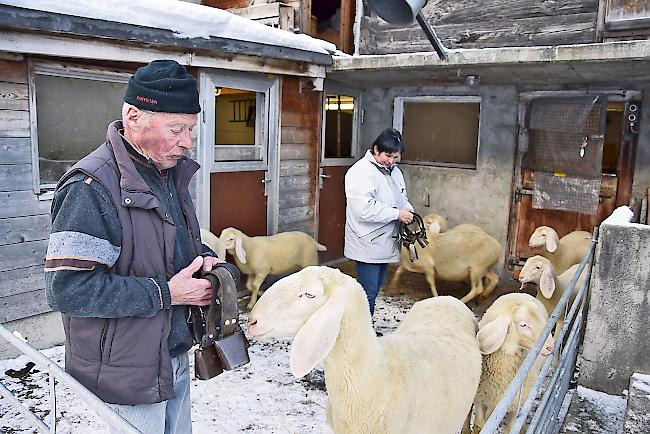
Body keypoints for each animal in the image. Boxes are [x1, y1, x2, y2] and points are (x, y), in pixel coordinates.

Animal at [466, 294, 552, 432]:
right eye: (523, 324)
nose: (550, 347)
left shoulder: (515, 402)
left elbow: (510, 428)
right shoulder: (480, 397)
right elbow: (479, 424)